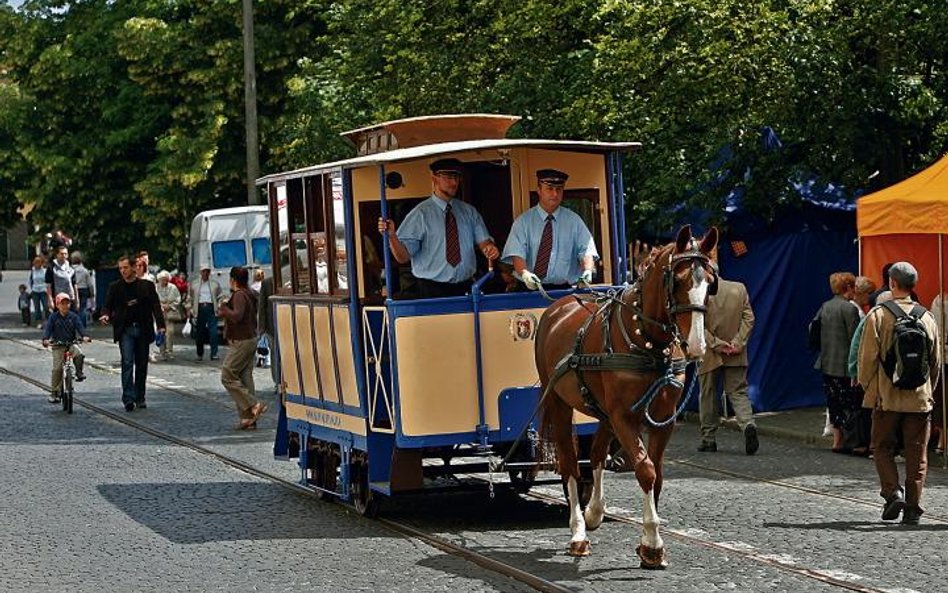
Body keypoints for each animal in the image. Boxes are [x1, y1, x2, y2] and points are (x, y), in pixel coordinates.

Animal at [532, 224, 720, 568]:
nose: (697, 345)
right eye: (679, 281)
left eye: (711, 283)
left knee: (595, 454)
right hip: (560, 404)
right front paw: (653, 543)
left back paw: (595, 511)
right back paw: (578, 533)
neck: (646, 341)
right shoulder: (624, 416)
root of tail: (558, 306)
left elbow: (657, 475)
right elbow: (645, 469)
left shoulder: (662, 419)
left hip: (603, 410)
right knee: (569, 463)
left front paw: (649, 543)